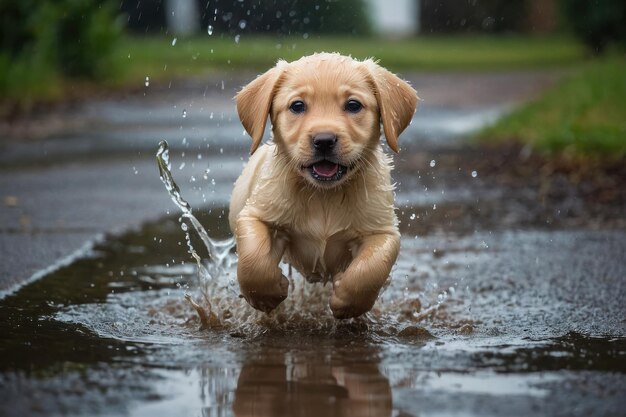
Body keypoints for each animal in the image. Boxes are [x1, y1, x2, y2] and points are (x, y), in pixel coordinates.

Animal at [228, 52, 414, 318]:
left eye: (353, 105)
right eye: (297, 106)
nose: (324, 140)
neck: (324, 195)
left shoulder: (383, 231)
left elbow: (371, 268)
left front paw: (347, 302)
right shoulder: (254, 215)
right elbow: (254, 259)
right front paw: (267, 295)